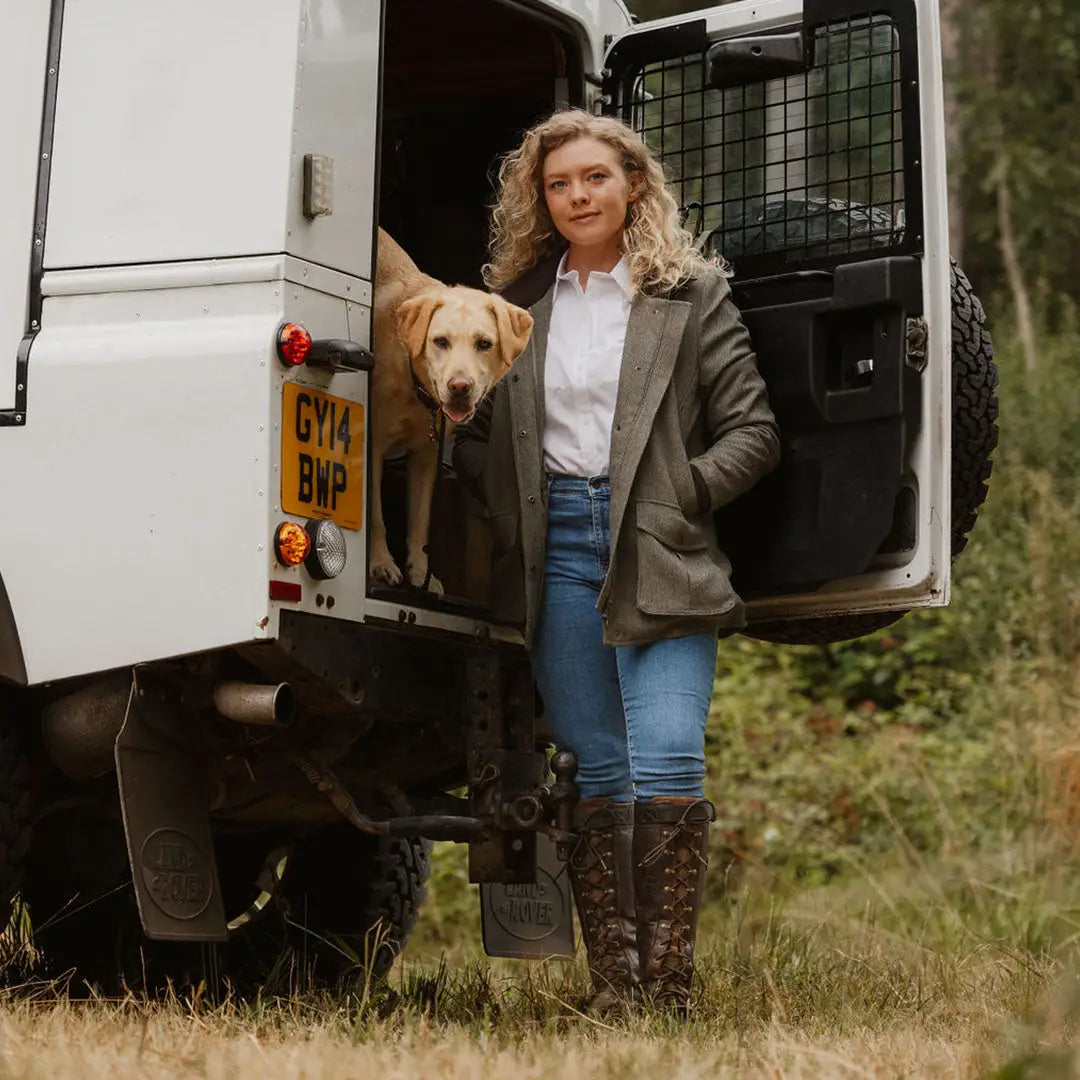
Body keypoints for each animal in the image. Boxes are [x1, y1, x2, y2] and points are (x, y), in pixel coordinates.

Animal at [373, 231, 533, 596]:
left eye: (484, 344)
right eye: (440, 341)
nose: (460, 387)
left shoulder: (426, 455)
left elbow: (420, 519)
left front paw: (422, 573)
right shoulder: (367, 450)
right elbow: (373, 516)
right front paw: (381, 563)